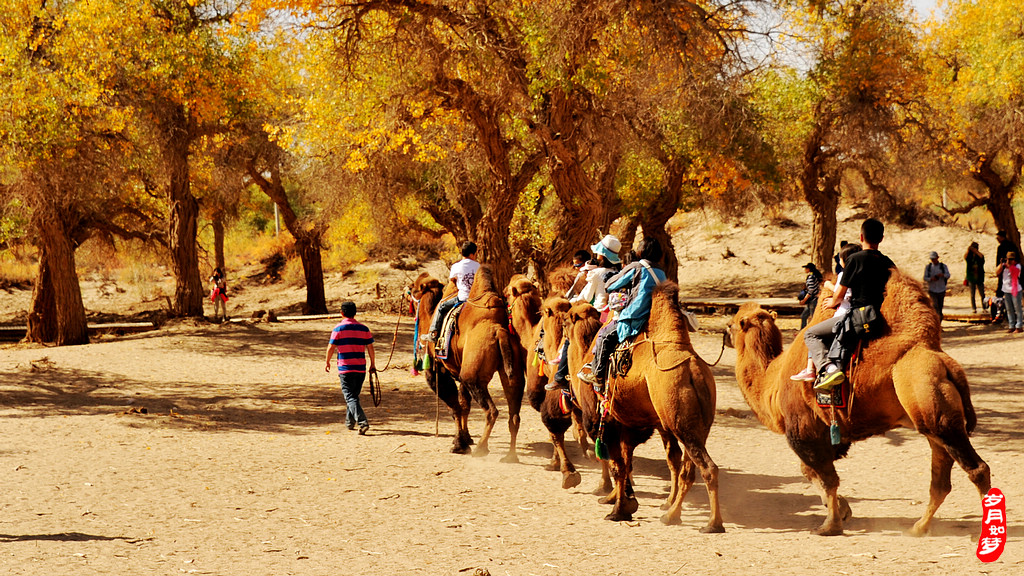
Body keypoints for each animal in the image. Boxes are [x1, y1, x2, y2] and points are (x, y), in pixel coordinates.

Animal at [407, 266, 524, 461]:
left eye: (414, 288)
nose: (406, 291)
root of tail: (499, 330)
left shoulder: (438, 371)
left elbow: (455, 407)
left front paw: (459, 444)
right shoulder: (460, 371)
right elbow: (464, 405)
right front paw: (467, 438)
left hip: (473, 377)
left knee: (491, 411)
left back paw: (481, 449)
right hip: (511, 371)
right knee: (514, 413)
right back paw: (510, 456)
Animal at [565, 280, 724, 528]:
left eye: (565, 320)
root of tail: (694, 372)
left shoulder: (607, 420)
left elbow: (617, 465)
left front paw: (619, 510)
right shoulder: (629, 424)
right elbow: (626, 462)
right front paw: (619, 500)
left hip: (681, 424)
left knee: (705, 467)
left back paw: (706, 523)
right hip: (697, 424)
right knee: (686, 467)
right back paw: (673, 512)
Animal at [729, 268, 991, 532]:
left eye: (730, 325)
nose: (726, 331)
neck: (772, 380)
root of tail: (947, 364)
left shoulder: (803, 428)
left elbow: (825, 477)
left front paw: (831, 524)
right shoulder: (830, 432)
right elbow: (812, 472)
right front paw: (842, 510)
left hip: (934, 408)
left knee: (977, 468)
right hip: (931, 421)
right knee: (941, 478)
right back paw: (919, 528)